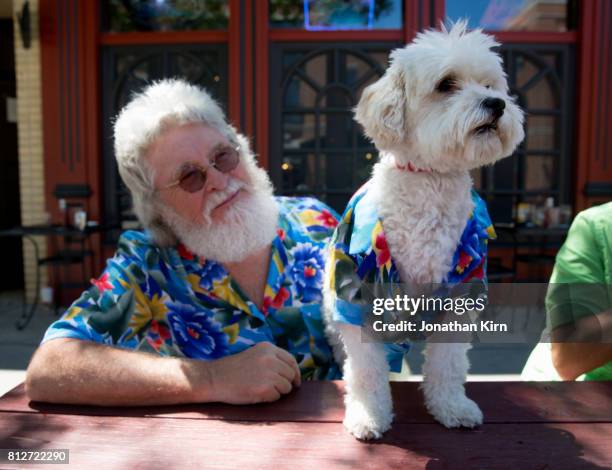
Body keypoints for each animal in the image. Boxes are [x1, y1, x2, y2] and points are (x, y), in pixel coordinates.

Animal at [322, 21, 524, 440]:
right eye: (447, 84)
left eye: (491, 85)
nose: (496, 104)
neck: (431, 180)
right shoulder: (358, 295)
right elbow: (366, 372)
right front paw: (368, 414)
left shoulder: (461, 294)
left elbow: (447, 364)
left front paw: (450, 406)